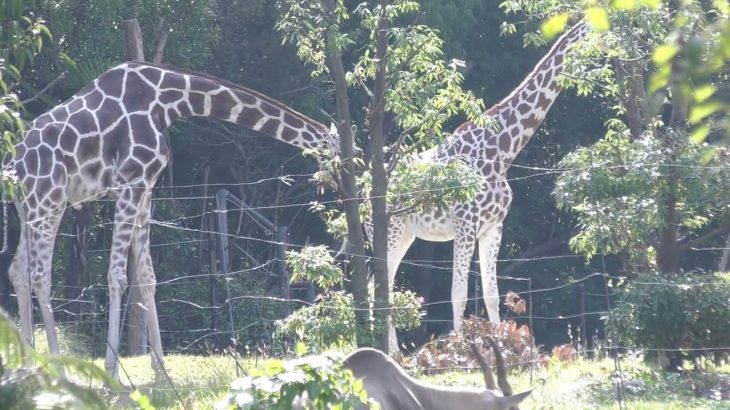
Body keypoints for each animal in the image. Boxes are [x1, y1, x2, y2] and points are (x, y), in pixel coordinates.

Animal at [2, 62, 340, 380]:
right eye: (336, 151)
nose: (342, 181)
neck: (168, 101)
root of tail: (11, 164)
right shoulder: (131, 181)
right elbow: (117, 276)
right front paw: (112, 371)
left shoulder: (146, 188)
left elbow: (147, 277)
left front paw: (162, 371)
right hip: (49, 201)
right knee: (40, 275)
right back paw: (56, 368)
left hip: (29, 208)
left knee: (18, 270)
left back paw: (29, 365)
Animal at [376, 17, 592, 348]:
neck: (502, 153)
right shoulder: (466, 224)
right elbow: (458, 294)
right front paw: (459, 348)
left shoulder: (493, 227)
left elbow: (491, 294)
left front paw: (500, 345)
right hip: (390, 226)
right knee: (380, 285)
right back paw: (391, 351)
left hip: (407, 233)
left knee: (382, 283)